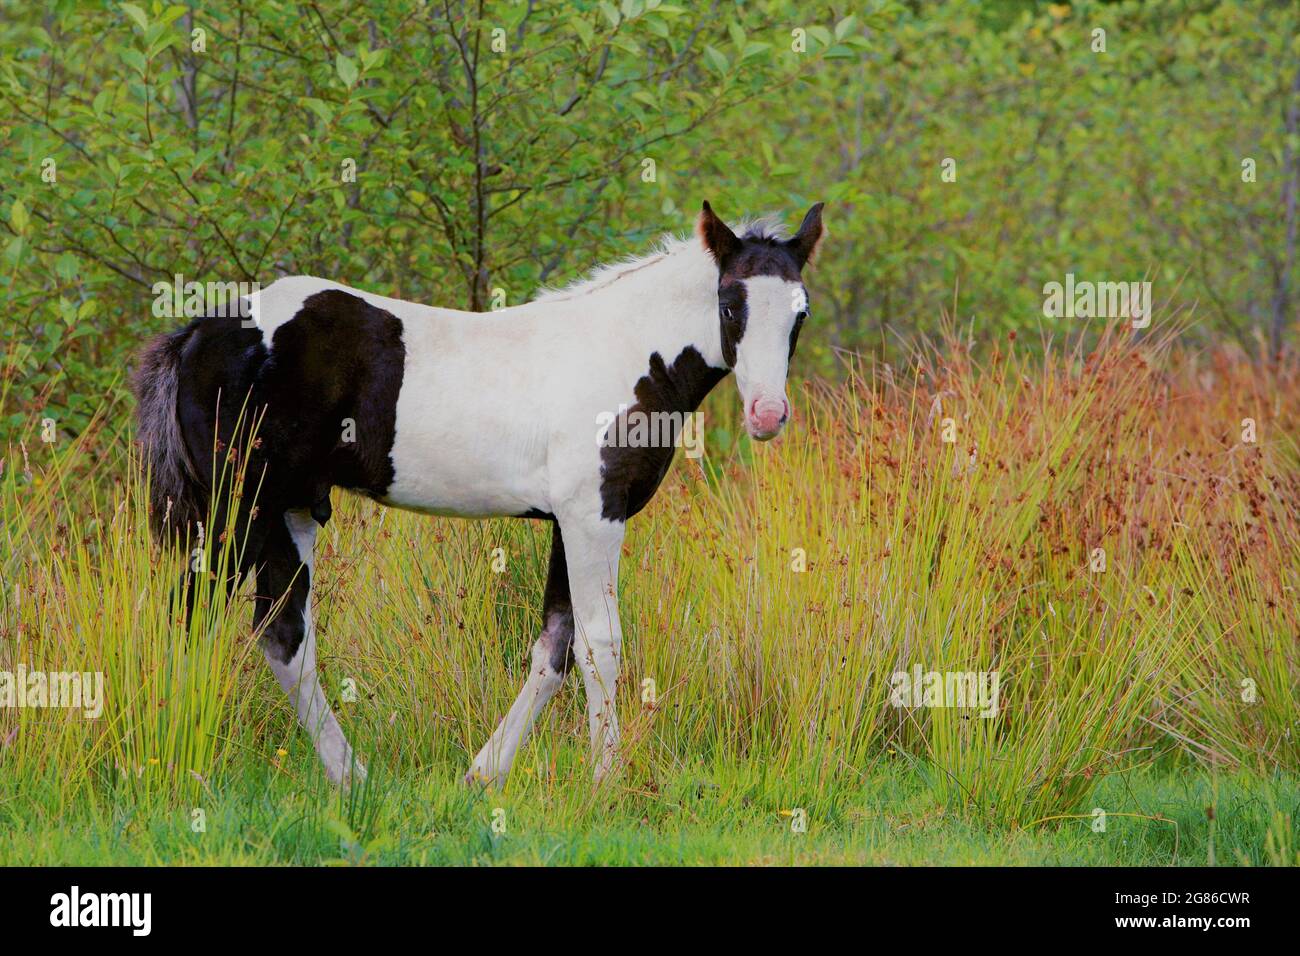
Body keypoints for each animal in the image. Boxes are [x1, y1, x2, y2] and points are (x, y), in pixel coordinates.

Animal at [134, 200, 821, 785]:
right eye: (729, 305)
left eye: (800, 313)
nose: (767, 414)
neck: (624, 354)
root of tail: (196, 334)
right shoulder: (594, 514)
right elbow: (599, 643)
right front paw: (606, 782)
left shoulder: (565, 522)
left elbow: (554, 647)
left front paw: (483, 774)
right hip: (235, 511)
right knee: (194, 617)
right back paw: (180, 768)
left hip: (291, 510)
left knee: (284, 637)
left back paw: (352, 779)